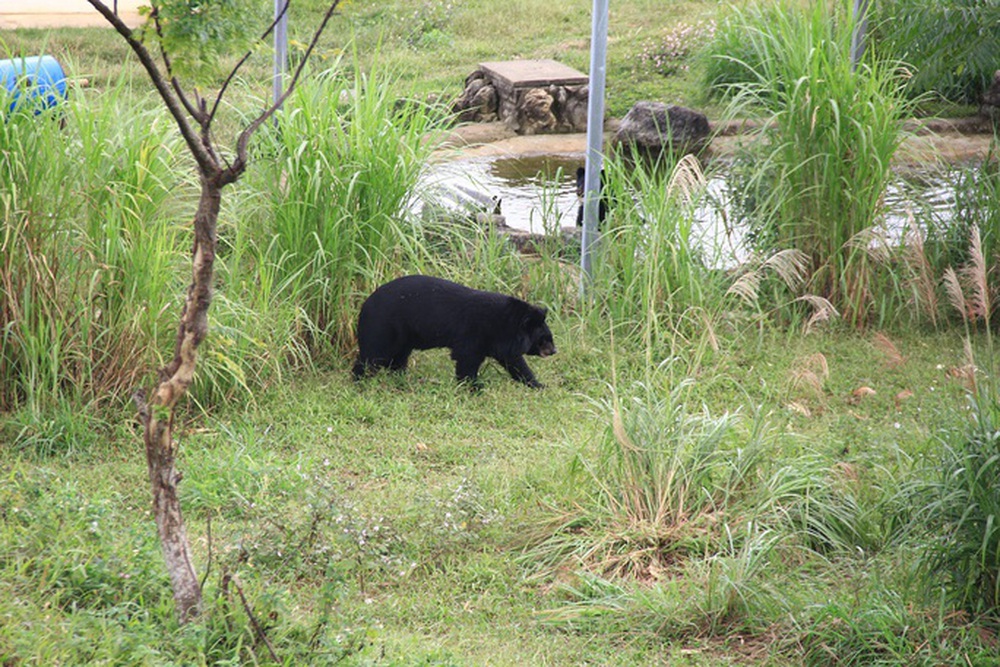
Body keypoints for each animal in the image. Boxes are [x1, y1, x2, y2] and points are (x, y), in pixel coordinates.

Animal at [352, 276, 556, 388]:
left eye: (549, 338)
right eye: (544, 339)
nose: (554, 351)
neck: (506, 323)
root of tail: (364, 305)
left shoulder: (501, 341)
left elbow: (515, 362)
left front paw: (538, 385)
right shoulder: (475, 332)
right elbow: (467, 358)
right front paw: (474, 387)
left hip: (404, 337)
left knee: (398, 359)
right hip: (383, 326)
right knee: (373, 355)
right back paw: (360, 381)